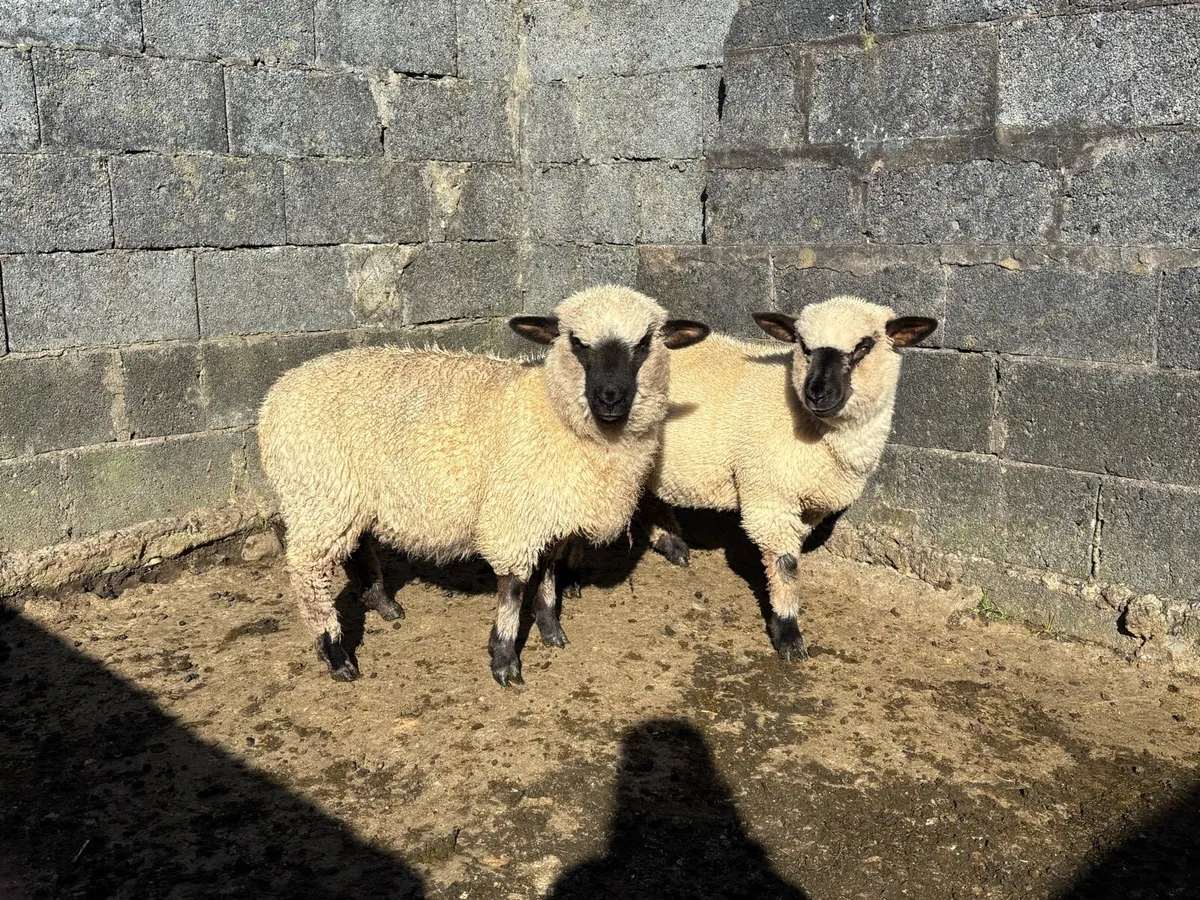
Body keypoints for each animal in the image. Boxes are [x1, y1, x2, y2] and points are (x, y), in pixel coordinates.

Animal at [257, 285, 709, 685]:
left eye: (645, 343)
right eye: (577, 342)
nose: (611, 398)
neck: (552, 412)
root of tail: (276, 392)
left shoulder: (553, 518)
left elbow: (548, 577)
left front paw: (551, 631)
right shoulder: (515, 518)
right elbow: (513, 589)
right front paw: (505, 660)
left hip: (348, 498)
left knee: (356, 548)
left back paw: (383, 605)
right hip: (318, 492)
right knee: (309, 572)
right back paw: (336, 654)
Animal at [643, 295, 937, 660]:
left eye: (864, 346)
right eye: (804, 347)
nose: (817, 394)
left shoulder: (811, 505)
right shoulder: (770, 495)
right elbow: (786, 565)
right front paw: (788, 634)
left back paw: (671, 542)